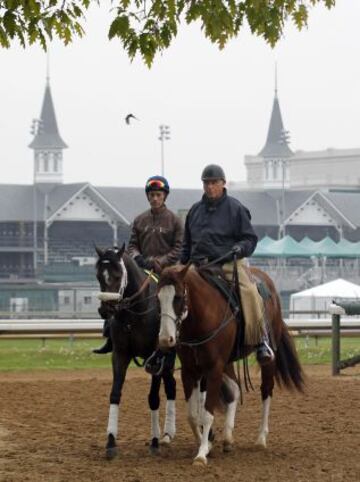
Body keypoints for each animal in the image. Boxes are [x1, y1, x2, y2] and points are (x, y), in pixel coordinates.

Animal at [94, 247, 176, 458]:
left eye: (117, 275)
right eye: (98, 275)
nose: (105, 310)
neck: (137, 312)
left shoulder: (155, 358)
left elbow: (153, 398)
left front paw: (154, 441)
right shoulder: (120, 355)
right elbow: (115, 394)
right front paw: (111, 441)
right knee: (171, 385)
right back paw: (167, 434)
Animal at [157, 262, 304, 466]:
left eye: (178, 297)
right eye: (158, 298)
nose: (165, 339)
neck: (203, 316)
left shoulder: (214, 369)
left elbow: (207, 413)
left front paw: (201, 454)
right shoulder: (189, 370)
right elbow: (192, 415)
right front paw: (205, 444)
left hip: (267, 360)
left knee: (266, 390)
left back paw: (261, 439)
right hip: (227, 364)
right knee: (235, 389)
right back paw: (228, 439)